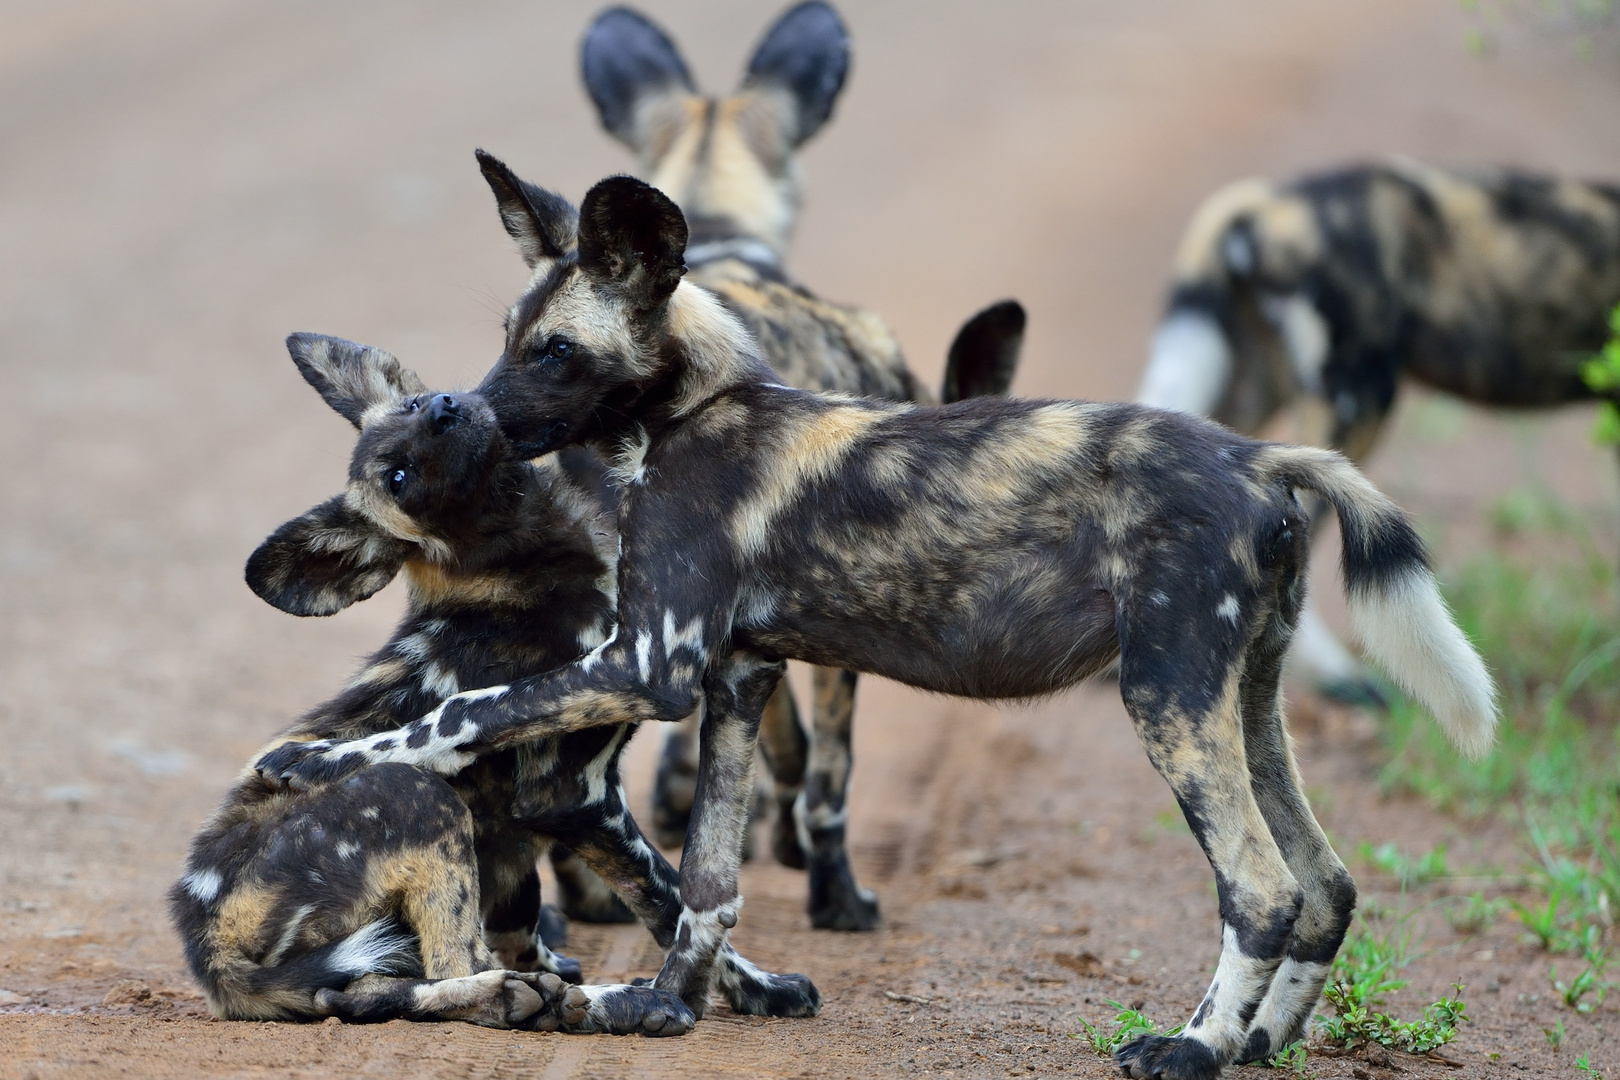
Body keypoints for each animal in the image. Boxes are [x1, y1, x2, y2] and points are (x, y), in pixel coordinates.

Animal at [174, 333, 822, 1036]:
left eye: (414, 405)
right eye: (399, 477)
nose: (444, 408)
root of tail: (206, 947)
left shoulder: (532, 837)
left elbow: (528, 921)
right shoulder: (575, 794)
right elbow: (674, 900)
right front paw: (750, 990)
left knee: (360, 992)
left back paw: (551, 995)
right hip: (416, 796)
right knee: (456, 961)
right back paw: (594, 1002)